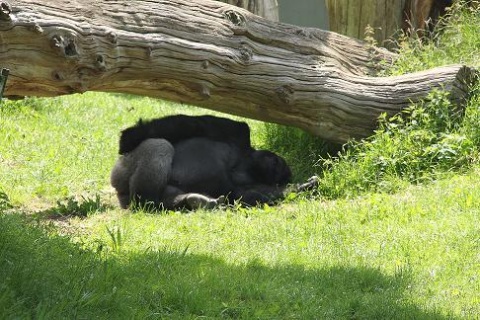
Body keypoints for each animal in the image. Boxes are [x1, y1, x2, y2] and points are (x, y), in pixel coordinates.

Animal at [110, 115, 294, 210]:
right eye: (276, 161)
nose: (276, 167)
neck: (246, 164)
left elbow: (243, 194)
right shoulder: (238, 132)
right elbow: (185, 124)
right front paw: (128, 138)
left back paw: (190, 200)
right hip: (120, 172)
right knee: (160, 145)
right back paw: (145, 201)